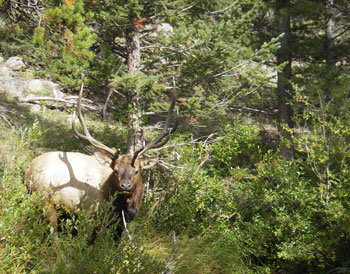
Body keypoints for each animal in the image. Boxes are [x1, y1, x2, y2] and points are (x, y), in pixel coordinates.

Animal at [24, 84, 178, 242]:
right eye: (115, 170)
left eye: (137, 171)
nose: (125, 185)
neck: (121, 208)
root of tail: (29, 169)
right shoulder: (89, 215)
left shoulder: (119, 224)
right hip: (46, 201)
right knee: (53, 235)